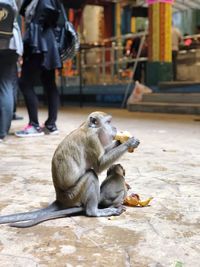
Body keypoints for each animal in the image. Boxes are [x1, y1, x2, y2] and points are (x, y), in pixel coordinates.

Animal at [0, 111, 140, 228]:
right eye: (109, 122)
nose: (115, 128)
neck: (87, 127)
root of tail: (60, 198)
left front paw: (120, 141)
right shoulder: (92, 140)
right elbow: (99, 165)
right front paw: (129, 142)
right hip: (73, 195)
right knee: (91, 175)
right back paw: (95, 212)